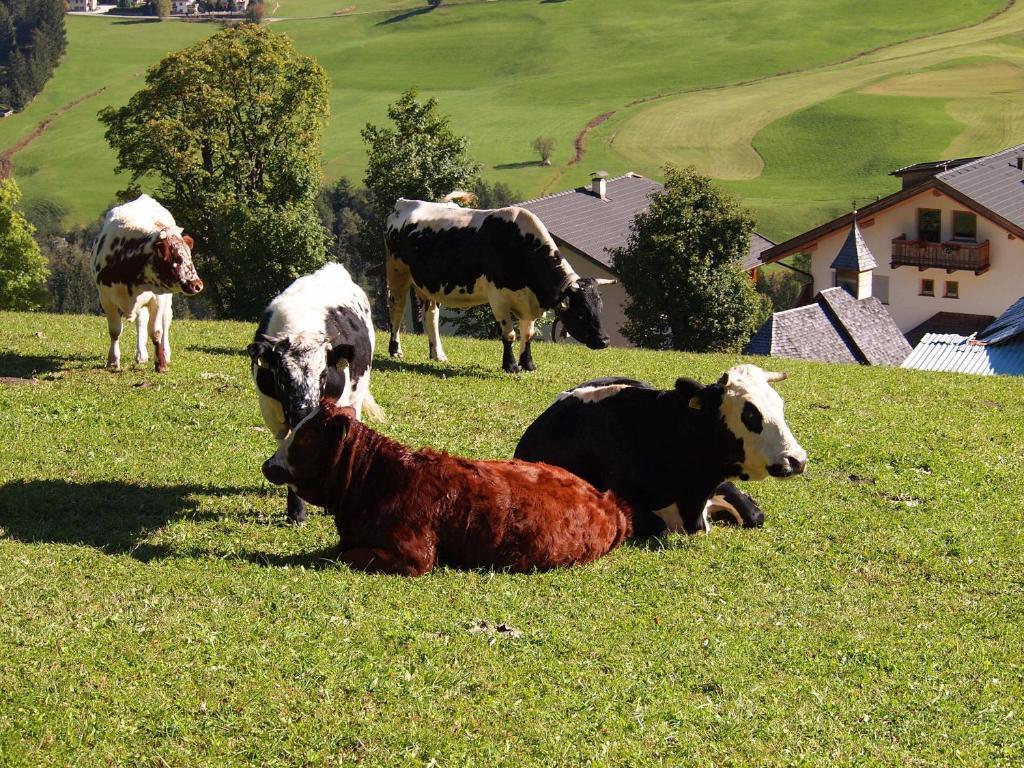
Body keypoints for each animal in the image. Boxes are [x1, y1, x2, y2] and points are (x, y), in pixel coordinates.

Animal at [92, 196, 203, 374]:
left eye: (189, 256)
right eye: (176, 259)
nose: (197, 285)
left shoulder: (157, 299)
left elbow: (156, 332)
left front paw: (161, 363)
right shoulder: (106, 298)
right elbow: (115, 331)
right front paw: (113, 361)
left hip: (166, 298)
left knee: (165, 321)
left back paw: (165, 352)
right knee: (141, 321)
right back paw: (141, 355)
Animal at [247, 262, 385, 528]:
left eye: (323, 375)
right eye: (282, 375)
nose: (303, 409)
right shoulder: (271, 410)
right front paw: (296, 513)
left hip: (357, 394)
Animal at [385, 198, 610, 376]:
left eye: (599, 308)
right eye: (580, 312)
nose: (604, 341)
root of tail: (404, 202)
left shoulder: (527, 299)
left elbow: (528, 334)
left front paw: (528, 364)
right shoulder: (498, 299)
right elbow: (509, 334)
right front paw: (510, 366)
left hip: (426, 284)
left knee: (431, 315)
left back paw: (437, 354)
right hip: (397, 272)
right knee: (397, 308)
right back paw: (395, 350)